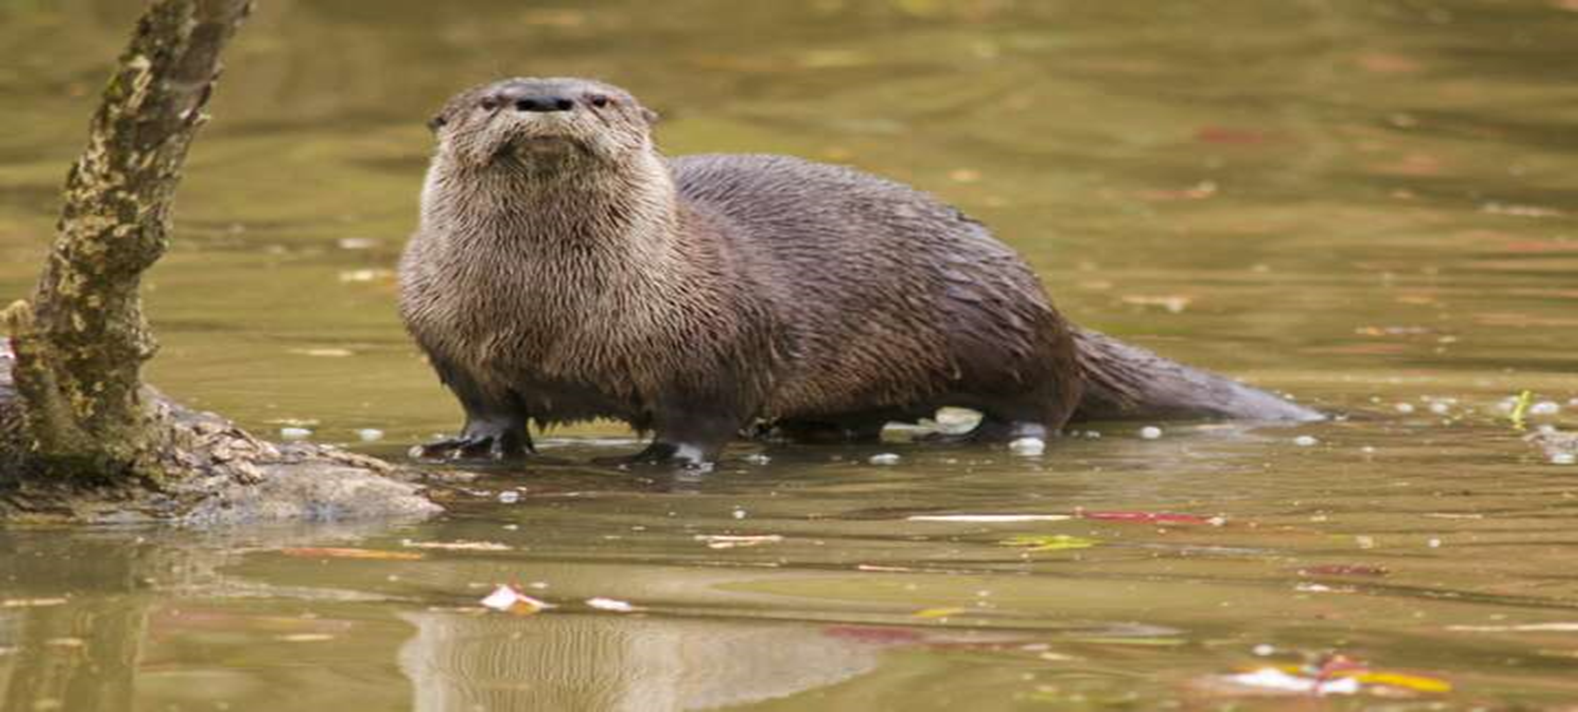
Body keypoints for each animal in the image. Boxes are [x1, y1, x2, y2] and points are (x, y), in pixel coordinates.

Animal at [399, 77, 1319, 466]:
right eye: (492, 99)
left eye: (600, 99)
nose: (546, 99)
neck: (548, 318)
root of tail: (1050, 306)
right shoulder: (448, 334)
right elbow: (491, 408)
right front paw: (468, 447)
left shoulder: (715, 341)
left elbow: (702, 416)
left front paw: (667, 460)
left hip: (1002, 328)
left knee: (1048, 400)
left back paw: (988, 435)